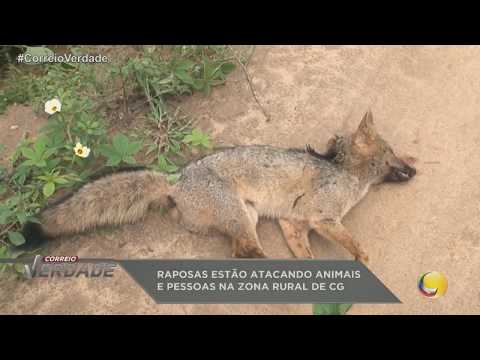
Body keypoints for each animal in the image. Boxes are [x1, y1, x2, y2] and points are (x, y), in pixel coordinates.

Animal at [16, 109, 416, 262]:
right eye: (392, 153)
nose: (414, 170)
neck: (345, 173)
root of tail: (176, 179)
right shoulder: (322, 218)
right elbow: (354, 244)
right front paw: (361, 258)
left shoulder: (293, 222)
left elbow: (306, 254)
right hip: (239, 216)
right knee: (247, 253)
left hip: (249, 218)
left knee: (242, 250)